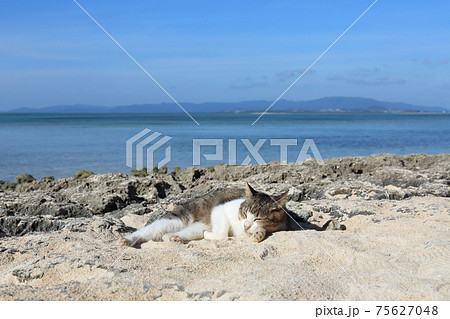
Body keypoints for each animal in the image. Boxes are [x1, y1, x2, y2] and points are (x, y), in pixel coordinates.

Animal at [119, 182, 288, 248]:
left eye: (258, 218)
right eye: (245, 213)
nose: (246, 226)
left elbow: (261, 230)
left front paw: (258, 234)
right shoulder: (221, 209)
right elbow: (222, 234)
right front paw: (211, 235)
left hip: (193, 228)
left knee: (168, 235)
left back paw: (174, 238)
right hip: (174, 219)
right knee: (146, 232)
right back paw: (126, 240)